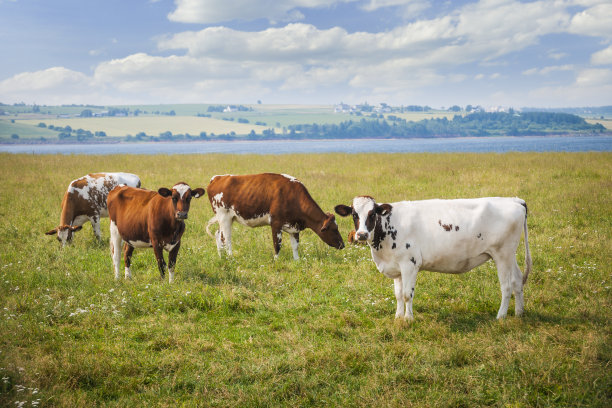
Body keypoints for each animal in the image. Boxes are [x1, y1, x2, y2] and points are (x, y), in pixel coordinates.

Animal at [203, 172, 342, 258]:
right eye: (334, 229)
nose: (343, 244)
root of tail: (217, 178)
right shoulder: (276, 223)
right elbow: (277, 245)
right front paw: (277, 261)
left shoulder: (294, 226)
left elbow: (295, 246)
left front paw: (297, 260)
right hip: (224, 216)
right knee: (226, 238)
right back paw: (231, 257)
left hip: (229, 218)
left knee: (219, 235)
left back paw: (222, 257)